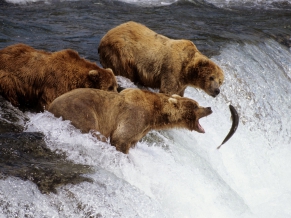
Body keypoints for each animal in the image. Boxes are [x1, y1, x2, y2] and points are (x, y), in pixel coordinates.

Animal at [47, 87, 212, 154]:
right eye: (196, 105)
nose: (209, 108)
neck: (154, 114)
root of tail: (50, 106)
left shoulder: (142, 129)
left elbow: (131, 140)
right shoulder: (135, 115)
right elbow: (120, 137)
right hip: (81, 112)